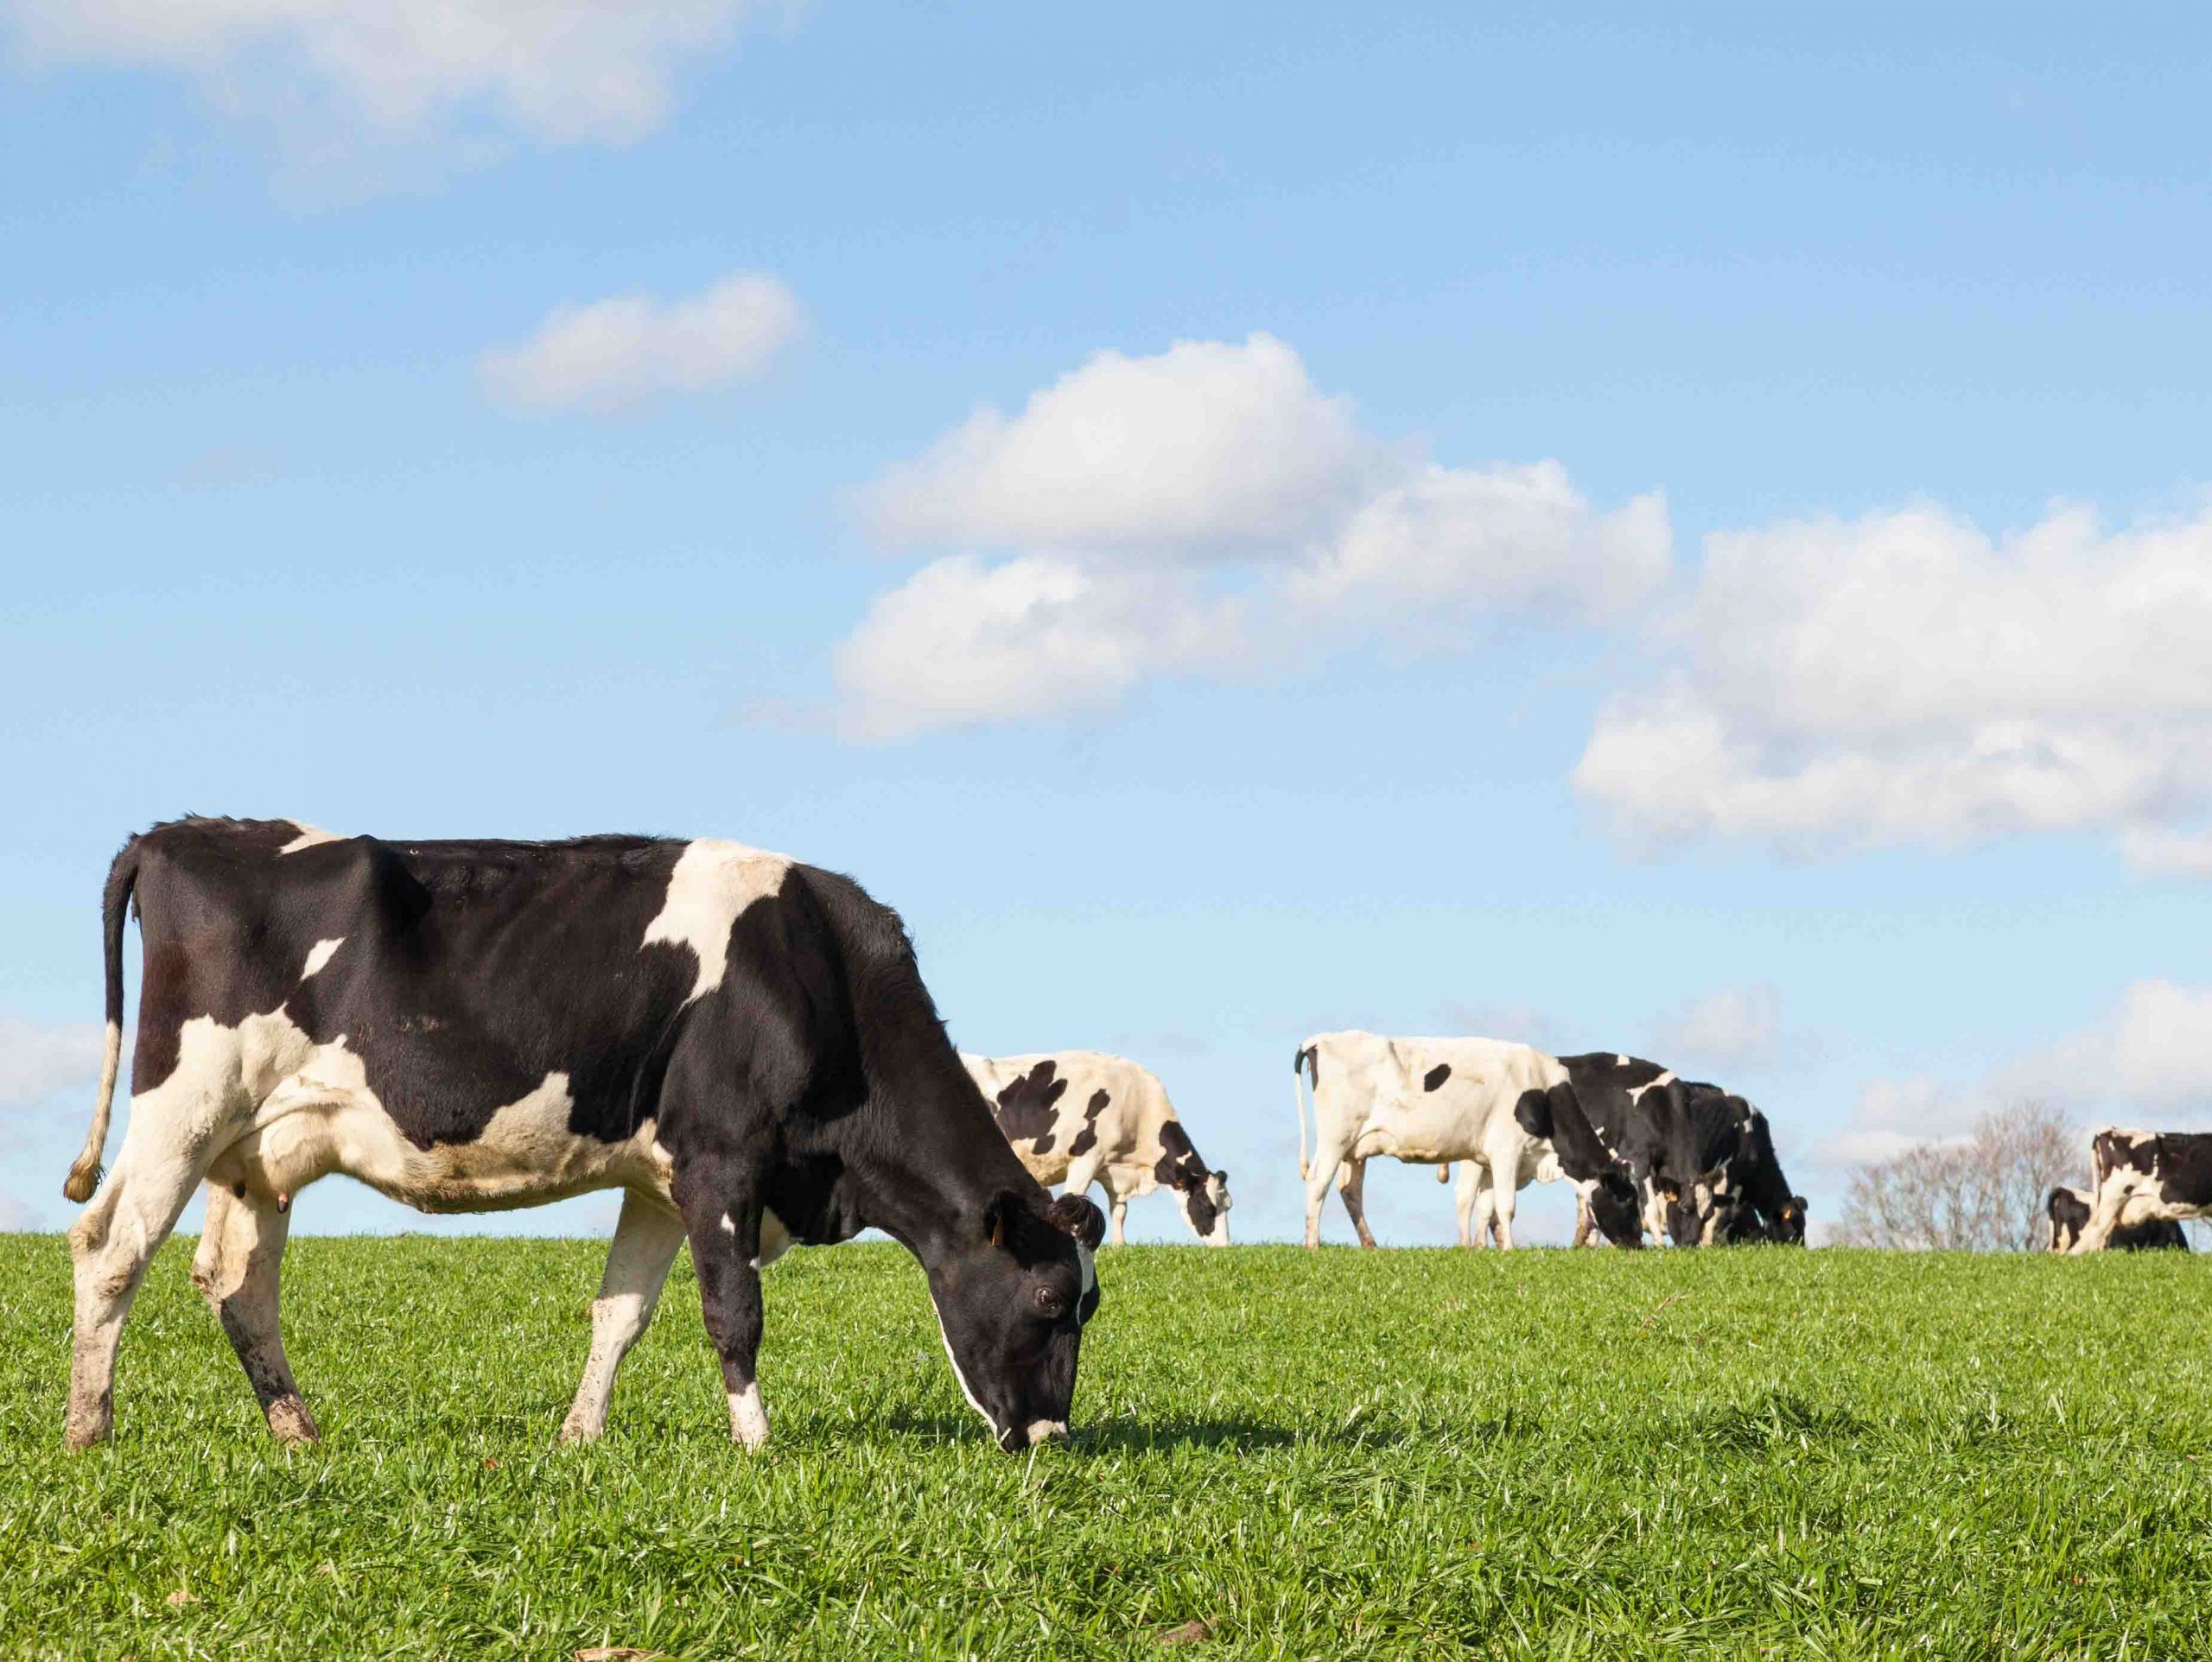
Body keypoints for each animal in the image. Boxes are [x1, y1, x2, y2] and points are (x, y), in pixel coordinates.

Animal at [58, 817, 1106, 1449]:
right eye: (1052, 1298)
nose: (1049, 1439)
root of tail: (180, 833)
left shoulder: (660, 1181)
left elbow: (621, 1314)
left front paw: (580, 1437)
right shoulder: (721, 1159)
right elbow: (734, 1312)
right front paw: (758, 1446)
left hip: (258, 1151)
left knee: (237, 1284)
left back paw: (298, 1433)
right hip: (186, 1102)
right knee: (111, 1246)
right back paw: (89, 1430)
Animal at [960, 1051, 1238, 1246]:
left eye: (1228, 1205)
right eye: (1208, 1208)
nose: (1225, 1247)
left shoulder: (1112, 1166)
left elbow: (1120, 1211)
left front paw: (1119, 1245)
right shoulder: (1087, 1158)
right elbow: (1072, 1198)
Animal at [1282, 1034, 1645, 1255]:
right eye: (1626, 1197)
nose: (1638, 1243)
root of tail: (1320, 1039)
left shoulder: (1486, 1159)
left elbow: (1482, 1205)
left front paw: (1477, 1249)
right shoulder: (1506, 1151)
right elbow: (1505, 1205)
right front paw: (1509, 1249)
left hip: (1355, 1149)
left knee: (1350, 1190)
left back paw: (1369, 1243)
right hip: (1335, 1136)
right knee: (1318, 1182)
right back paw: (1312, 1244)